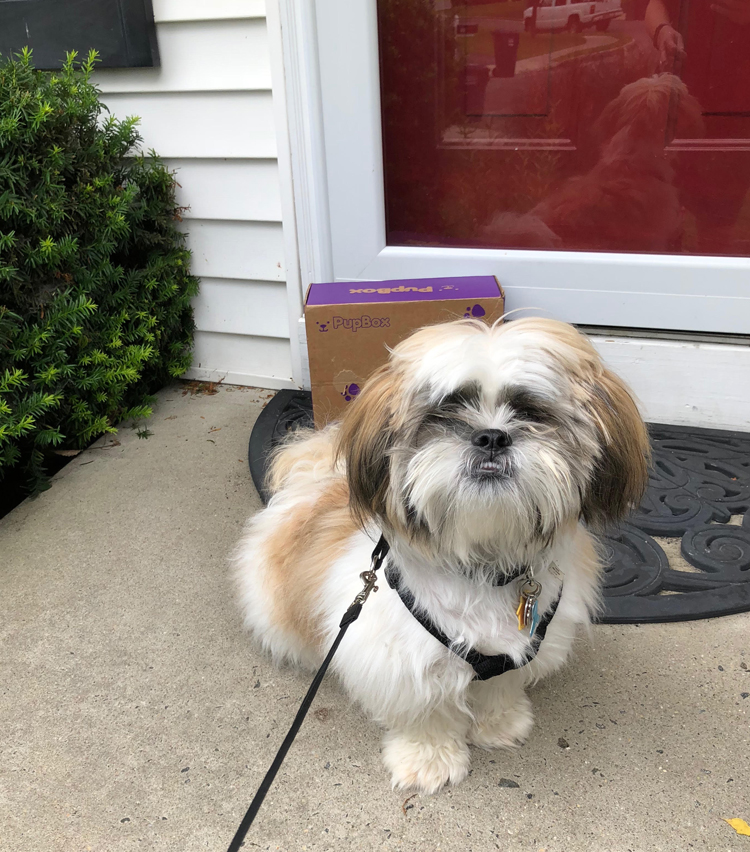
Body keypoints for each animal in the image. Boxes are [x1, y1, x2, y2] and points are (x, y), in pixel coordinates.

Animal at [236, 318, 652, 792]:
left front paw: (499, 723)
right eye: (445, 412)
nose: (491, 436)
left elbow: (499, 686)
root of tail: (317, 478)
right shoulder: (400, 656)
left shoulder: (524, 643)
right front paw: (429, 759)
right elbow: (425, 710)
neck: (482, 561)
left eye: (529, 411)